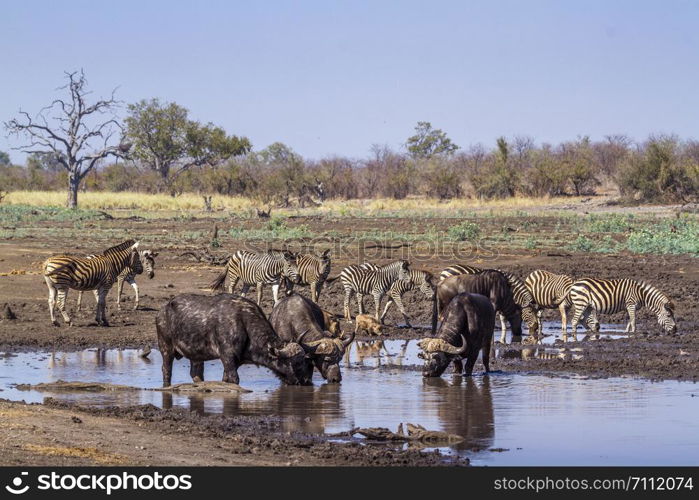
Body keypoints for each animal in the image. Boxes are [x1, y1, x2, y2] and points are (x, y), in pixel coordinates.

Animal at [159, 292, 314, 386]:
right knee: (166, 370)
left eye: (305, 360)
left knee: (196, 373)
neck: (244, 322)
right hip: (166, 348)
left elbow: (226, 379)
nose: (306, 381)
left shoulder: (235, 362)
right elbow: (234, 379)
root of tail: (163, 309)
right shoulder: (227, 357)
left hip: (196, 356)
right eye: (297, 362)